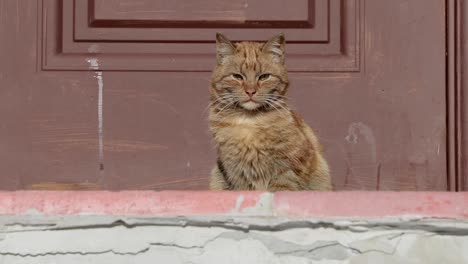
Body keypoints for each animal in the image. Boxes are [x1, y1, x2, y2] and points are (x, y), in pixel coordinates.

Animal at [208, 33, 332, 191]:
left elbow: (283, 188)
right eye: (237, 76)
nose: (250, 91)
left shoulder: (288, 167)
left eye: (264, 77)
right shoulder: (236, 172)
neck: (250, 122)